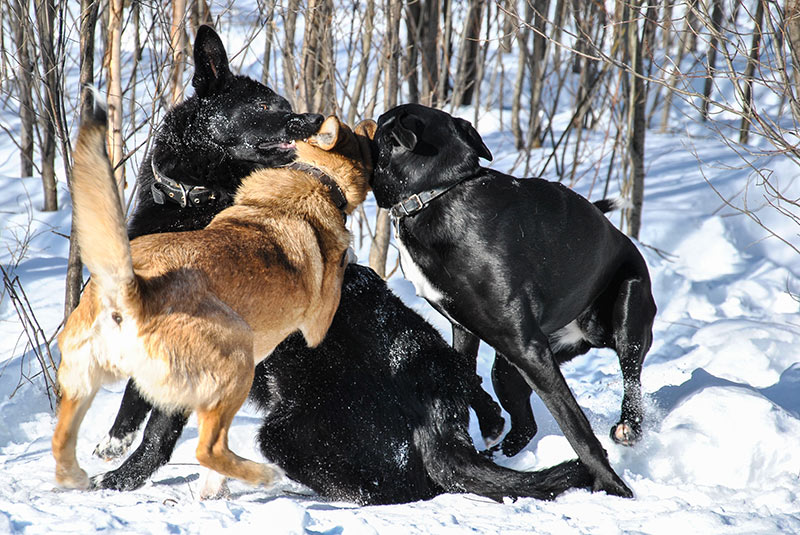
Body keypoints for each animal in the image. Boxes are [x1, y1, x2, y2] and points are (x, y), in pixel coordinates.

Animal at [92, 26, 592, 502]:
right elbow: (139, 394)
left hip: (288, 434)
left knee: (402, 487)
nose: (315, 119)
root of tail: (442, 422)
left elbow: (158, 426)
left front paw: (122, 476)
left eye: (287, 105)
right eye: (266, 106)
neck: (199, 196)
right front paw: (117, 440)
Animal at [368, 103, 656, 498]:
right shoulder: (466, 328)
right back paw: (500, 454)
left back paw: (630, 426)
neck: (439, 192)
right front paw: (489, 426)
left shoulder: (528, 346)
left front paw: (613, 485)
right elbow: (463, 374)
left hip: (627, 309)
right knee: (524, 424)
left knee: (632, 374)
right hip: (510, 367)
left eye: (373, 130)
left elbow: (576, 427)